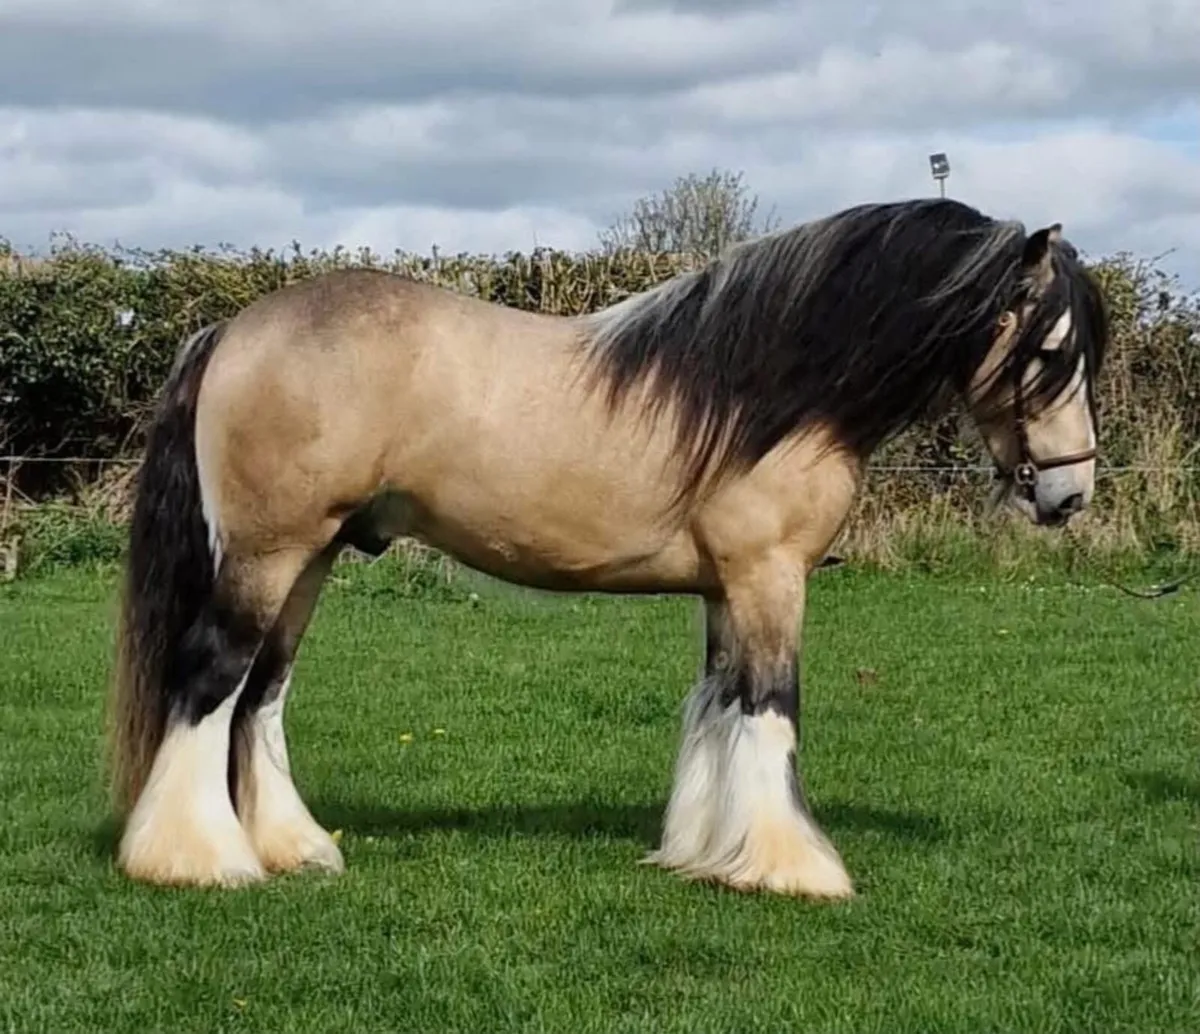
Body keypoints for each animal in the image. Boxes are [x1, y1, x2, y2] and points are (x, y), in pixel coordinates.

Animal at [106, 197, 1109, 899]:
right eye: (1047, 349)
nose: (1070, 493)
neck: (760, 395)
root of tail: (231, 330)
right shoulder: (770, 578)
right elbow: (771, 709)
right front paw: (796, 870)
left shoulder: (726, 590)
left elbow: (720, 708)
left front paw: (706, 852)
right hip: (268, 556)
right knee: (209, 677)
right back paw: (197, 859)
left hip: (307, 563)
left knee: (261, 693)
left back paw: (291, 847)